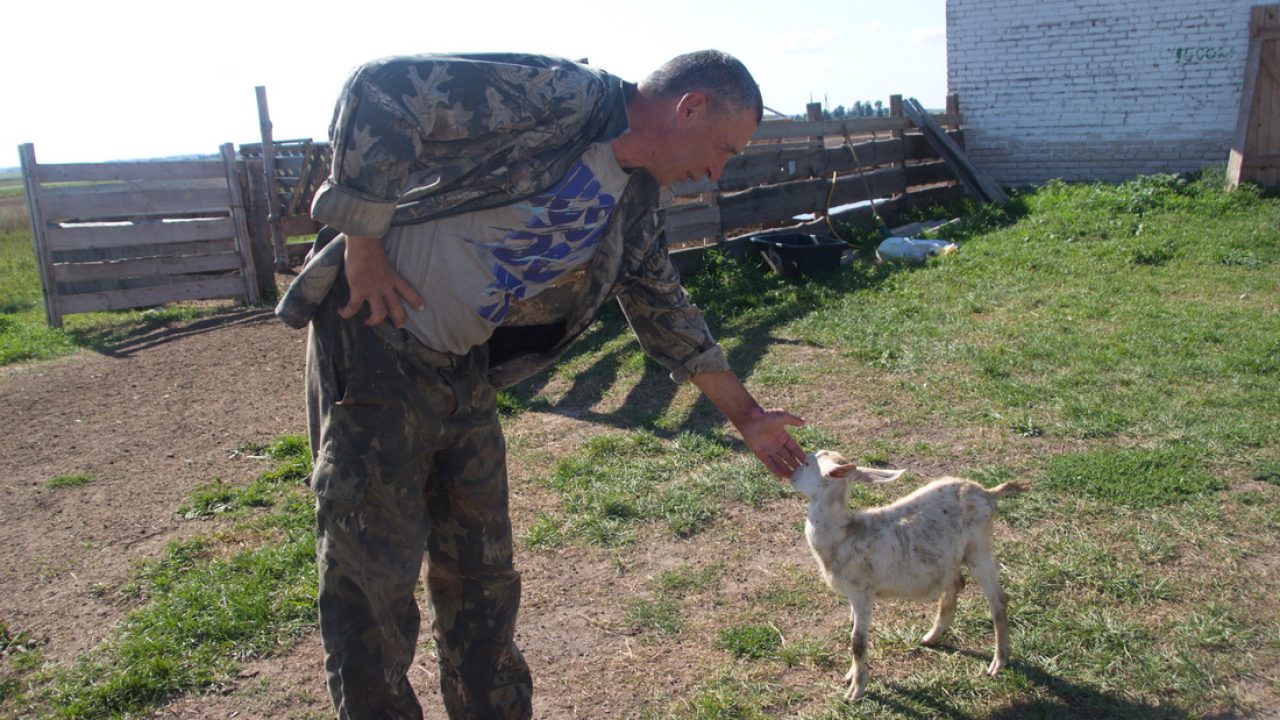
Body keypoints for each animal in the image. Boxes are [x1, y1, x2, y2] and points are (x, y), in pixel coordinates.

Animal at [788, 445, 1029, 696]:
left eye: (806, 463)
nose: (790, 475)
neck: (843, 534)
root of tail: (989, 493)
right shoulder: (853, 596)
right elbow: (852, 631)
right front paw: (851, 675)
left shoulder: (863, 591)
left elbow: (857, 641)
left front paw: (857, 689)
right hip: (951, 556)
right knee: (955, 585)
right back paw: (932, 637)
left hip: (978, 546)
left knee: (997, 600)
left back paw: (999, 661)